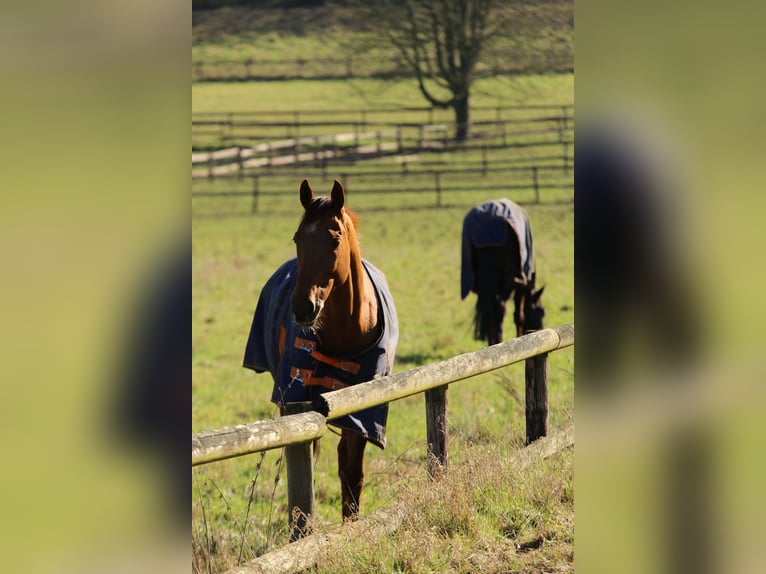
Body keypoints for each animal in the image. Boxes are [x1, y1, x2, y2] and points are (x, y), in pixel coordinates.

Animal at [243, 179, 398, 522]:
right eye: (297, 238)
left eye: (334, 239)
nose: (303, 307)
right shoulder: (293, 400)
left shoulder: (360, 411)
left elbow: (352, 473)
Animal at [461, 199, 545, 346]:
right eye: (540, 312)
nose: (540, 329)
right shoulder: (520, 287)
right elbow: (519, 316)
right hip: (509, 282)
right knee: (500, 310)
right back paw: (498, 341)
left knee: (491, 313)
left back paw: (492, 343)